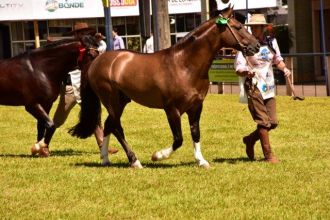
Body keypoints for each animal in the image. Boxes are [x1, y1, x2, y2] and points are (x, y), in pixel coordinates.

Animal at [70, 6, 260, 168]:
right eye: (238, 27)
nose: (257, 46)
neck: (184, 65)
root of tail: (97, 61)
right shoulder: (172, 110)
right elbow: (178, 139)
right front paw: (158, 155)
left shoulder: (196, 106)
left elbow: (195, 133)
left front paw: (201, 161)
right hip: (112, 102)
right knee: (116, 127)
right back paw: (134, 161)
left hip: (121, 101)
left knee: (109, 125)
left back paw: (105, 159)